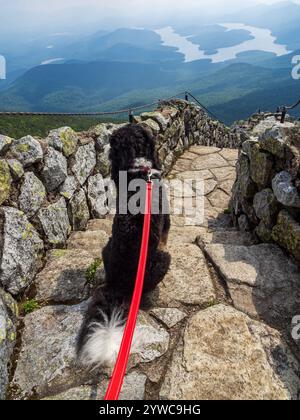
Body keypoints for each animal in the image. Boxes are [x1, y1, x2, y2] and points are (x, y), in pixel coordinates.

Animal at [77, 124, 171, 368]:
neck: (139, 170)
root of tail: (117, 286)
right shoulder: (166, 223)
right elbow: (166, 236)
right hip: (163, 261)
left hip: (106, 248)